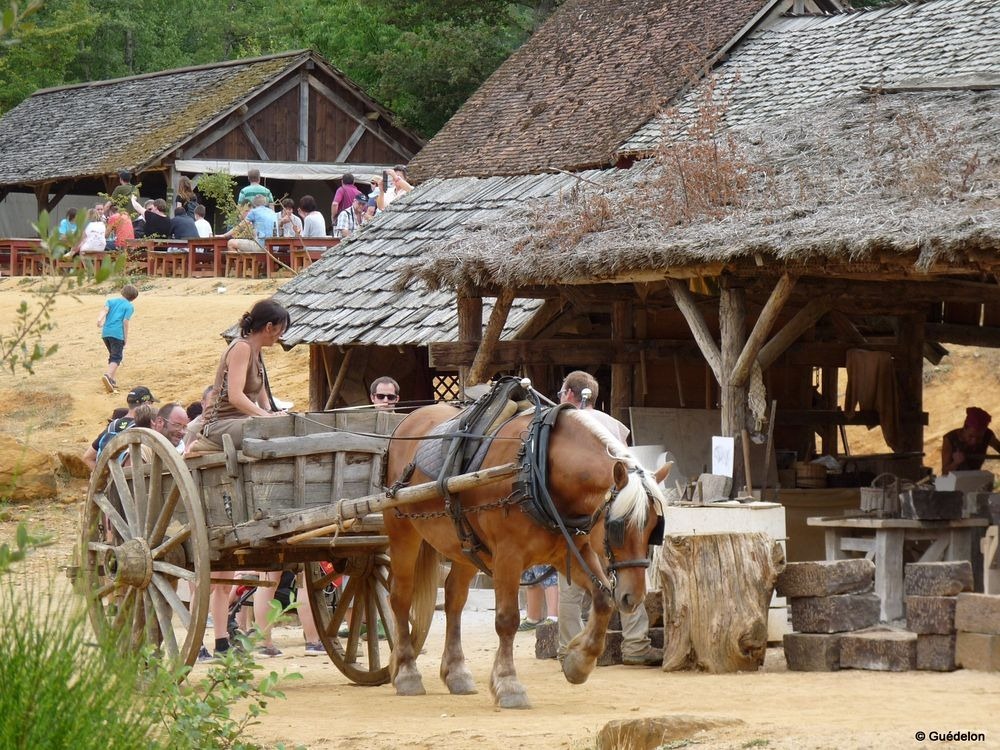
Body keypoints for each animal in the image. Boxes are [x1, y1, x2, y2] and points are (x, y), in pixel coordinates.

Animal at [382, 394, 664, 712]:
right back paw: (407, 672)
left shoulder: (570, 551)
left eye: (654, 528)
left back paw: (456, 672)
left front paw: (579, 662)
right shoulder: (508, 556)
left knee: (454, 598)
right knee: (400, 597)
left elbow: (603, 601)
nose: (633, 597)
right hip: (402, 531)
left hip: (464, 545)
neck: (539, 467)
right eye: (617, 527)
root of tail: (407, 420)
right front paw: (508, 685)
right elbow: (507, 620)